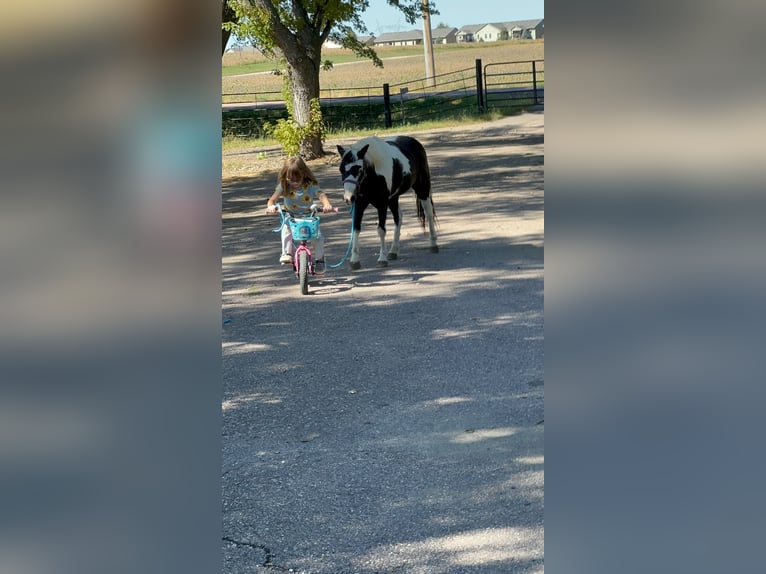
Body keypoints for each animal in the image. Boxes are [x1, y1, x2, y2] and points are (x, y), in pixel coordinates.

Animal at [336, 135, 438, 269]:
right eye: (341, 169)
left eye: (359, 169)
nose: (348, 198)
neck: (373, 175)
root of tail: (414, 141)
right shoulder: (359, 204)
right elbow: (356, 229)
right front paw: (354, 260)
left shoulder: (382, 205)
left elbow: (381, 230)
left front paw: (382, 259)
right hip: (393, 199)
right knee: (398, 217)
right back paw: (393, 251)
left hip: (422, 188)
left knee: (428, 213)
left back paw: (433, 244)